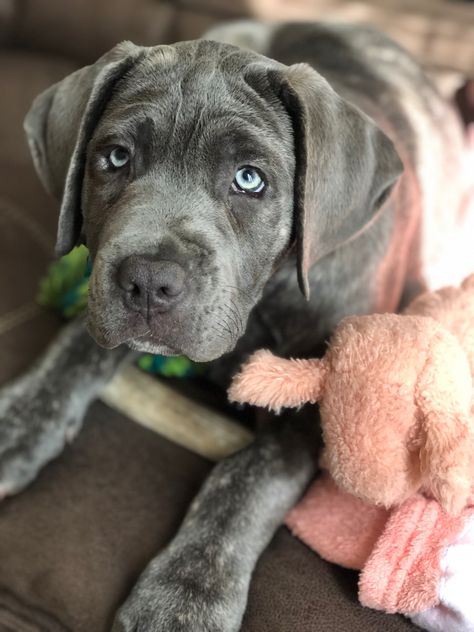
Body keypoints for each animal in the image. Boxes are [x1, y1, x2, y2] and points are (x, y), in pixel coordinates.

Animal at [0, 21, 466, 632]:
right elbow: (73, 351)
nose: (147, 281)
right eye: (116, 157)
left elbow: (248, 477)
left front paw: (185, 592)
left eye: (249, 179)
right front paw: (17, 425)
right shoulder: (99, 298)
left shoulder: (317, 409)